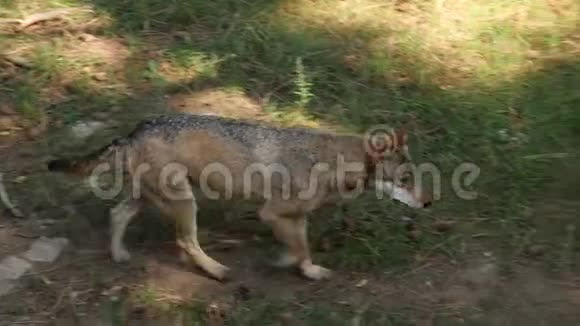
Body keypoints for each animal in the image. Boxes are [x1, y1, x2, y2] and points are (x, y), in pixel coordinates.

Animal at [47, 113, 430, 282]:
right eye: (406, 179)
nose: (427, 204)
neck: (332, 163)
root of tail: (135, 129)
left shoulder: (297, 218)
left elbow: (302, 248)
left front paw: (300, 267)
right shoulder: (270, 213)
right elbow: (299, 248)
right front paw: (294, 266)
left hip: (152, 198)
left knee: (117, 215)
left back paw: (118, 254)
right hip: (185, 203)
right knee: (185, 241)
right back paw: (217, 271)